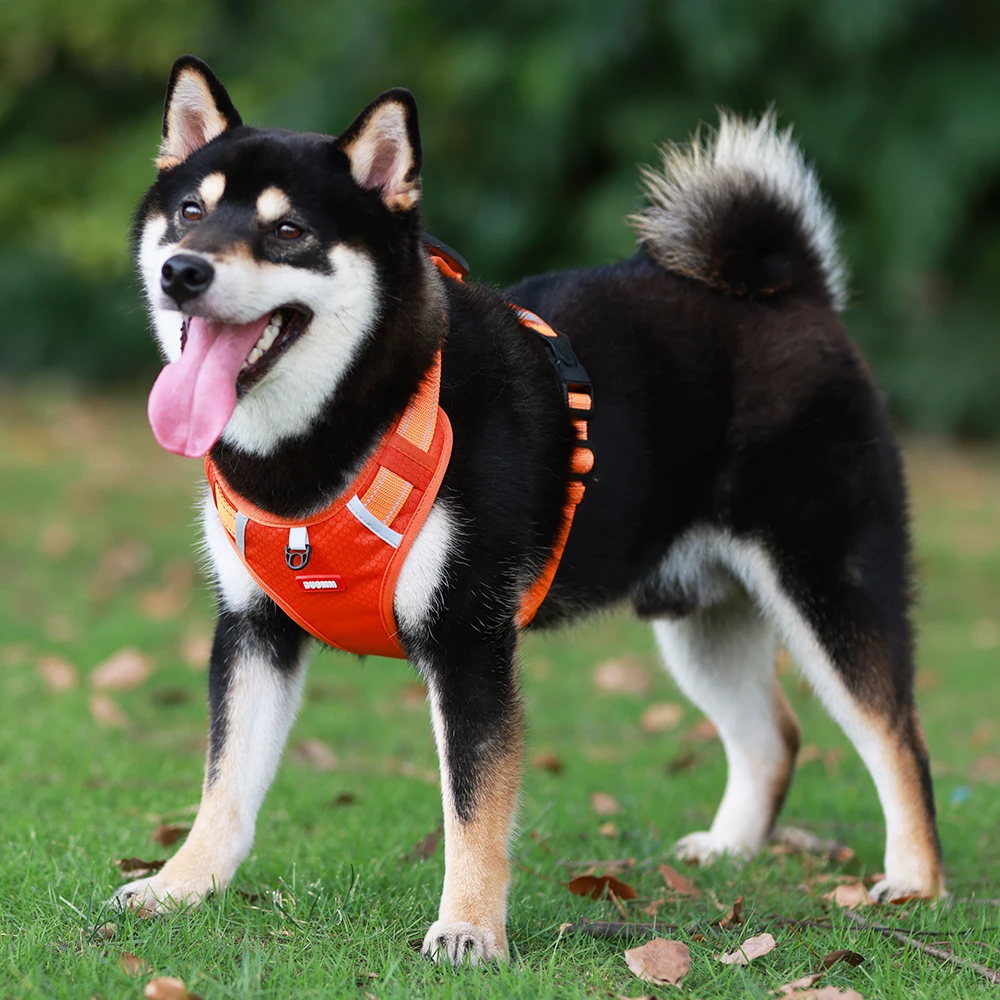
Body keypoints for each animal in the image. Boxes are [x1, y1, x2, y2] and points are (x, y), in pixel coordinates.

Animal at [113, 56, 940, 968]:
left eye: (287, 229)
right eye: (191, 212)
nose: (183, 271)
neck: (334, 440)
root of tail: (792, 293)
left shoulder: (469, 639)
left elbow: (474, 807)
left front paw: (470, 928)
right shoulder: (254, 628)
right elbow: (225, 784)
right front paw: (181, 886)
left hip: (827, 584)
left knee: (897, 735)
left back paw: (914, 881)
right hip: (700, 619)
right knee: (774, 737)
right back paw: (729, 849)